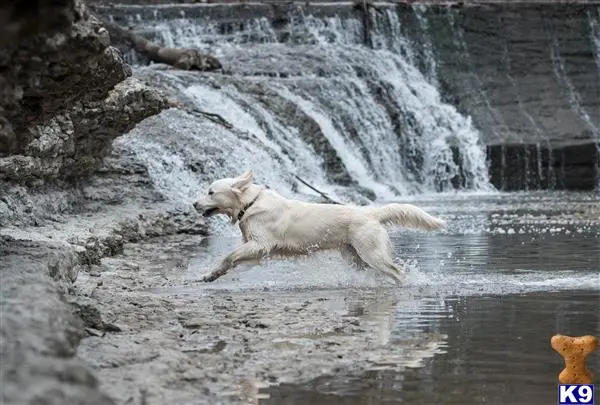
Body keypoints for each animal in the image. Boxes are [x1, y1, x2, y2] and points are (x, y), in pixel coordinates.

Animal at [192, 169, 446, 282]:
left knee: (397, 272)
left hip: (371, 252)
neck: (250, 203)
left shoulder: (261, 245)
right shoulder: (255, 251)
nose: (194, 203)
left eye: (211, 192)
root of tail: (371, 212)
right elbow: (231, 261)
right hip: (355, 257)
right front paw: (210, 275)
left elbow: (228, 255)